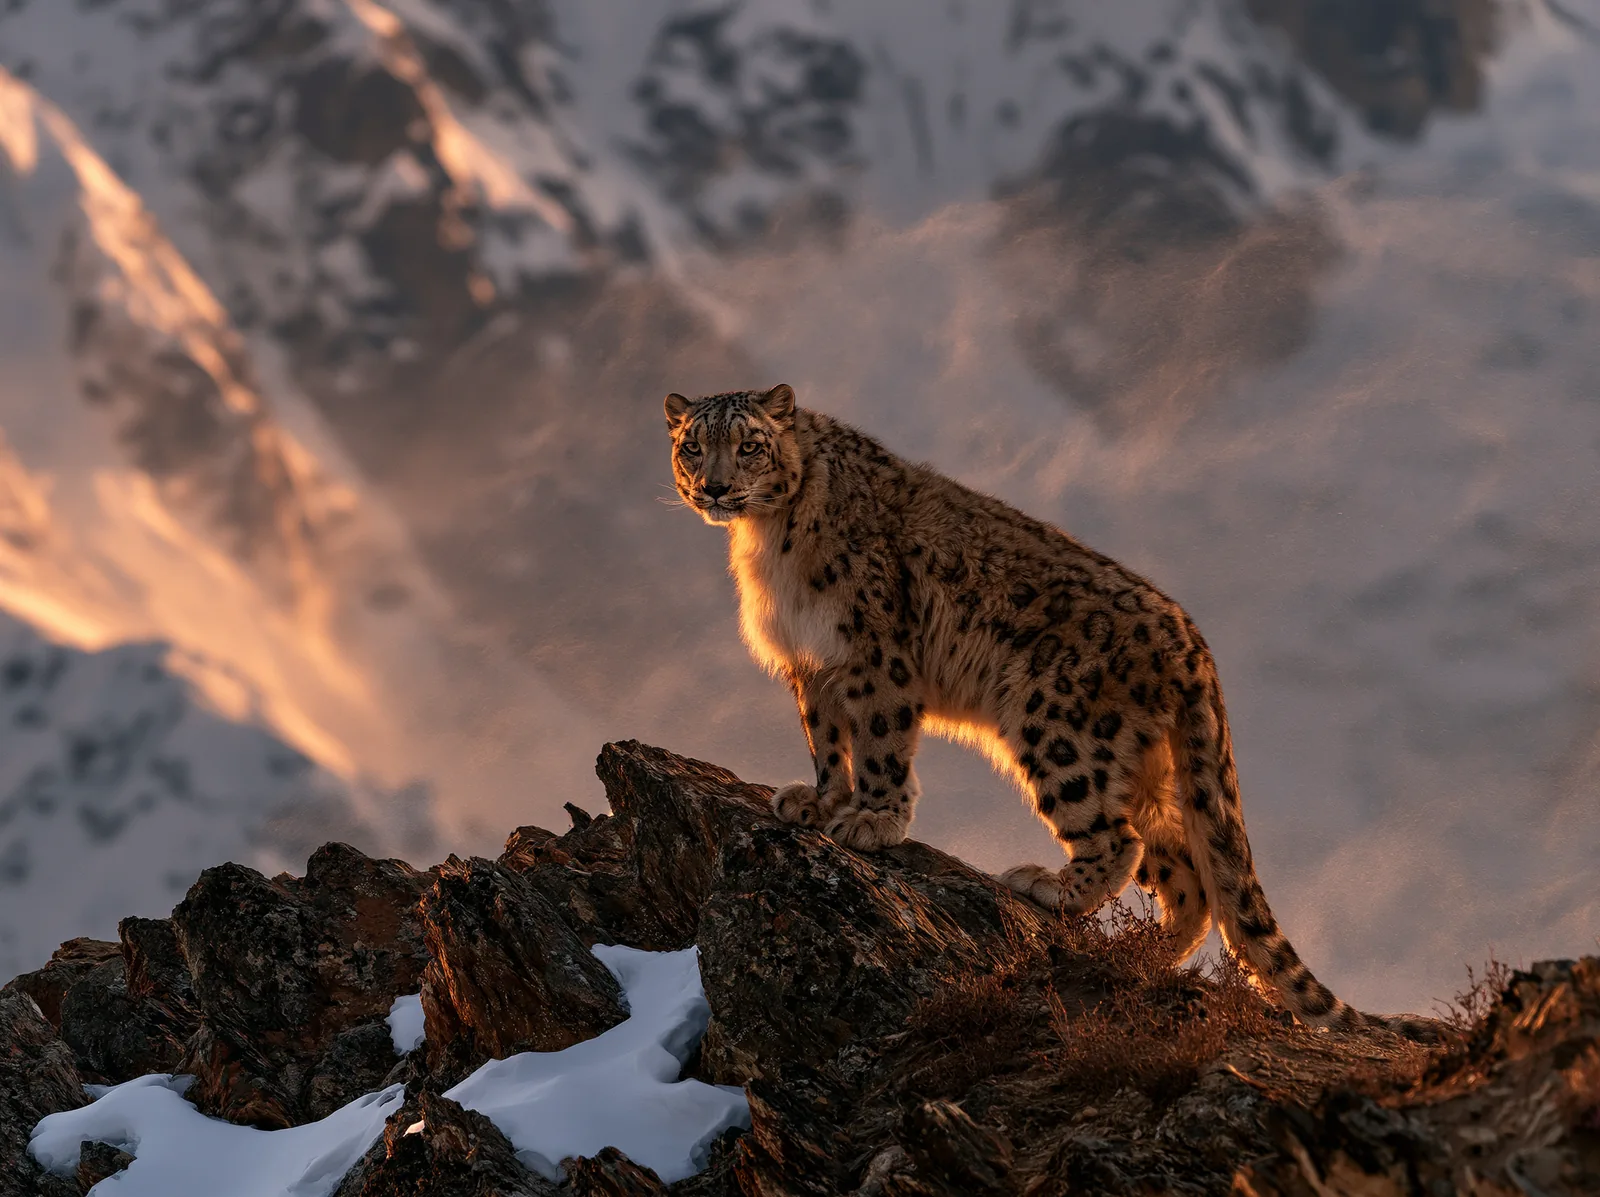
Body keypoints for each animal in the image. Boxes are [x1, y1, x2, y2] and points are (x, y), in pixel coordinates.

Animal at [664, 382, 1395, 1031]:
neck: (771, 540)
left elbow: (876, 742)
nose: (716, 487)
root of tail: (1195, 644)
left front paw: (872, 819)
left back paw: (1049, 886)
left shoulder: (876, 655)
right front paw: (817, 802)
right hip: (1145, 771)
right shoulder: (810, 664)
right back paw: (1137, 951)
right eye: (693, 446)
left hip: (1059, 725)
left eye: (750, 445)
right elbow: (827, 741)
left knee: (1119, 839)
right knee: (1186, 877)